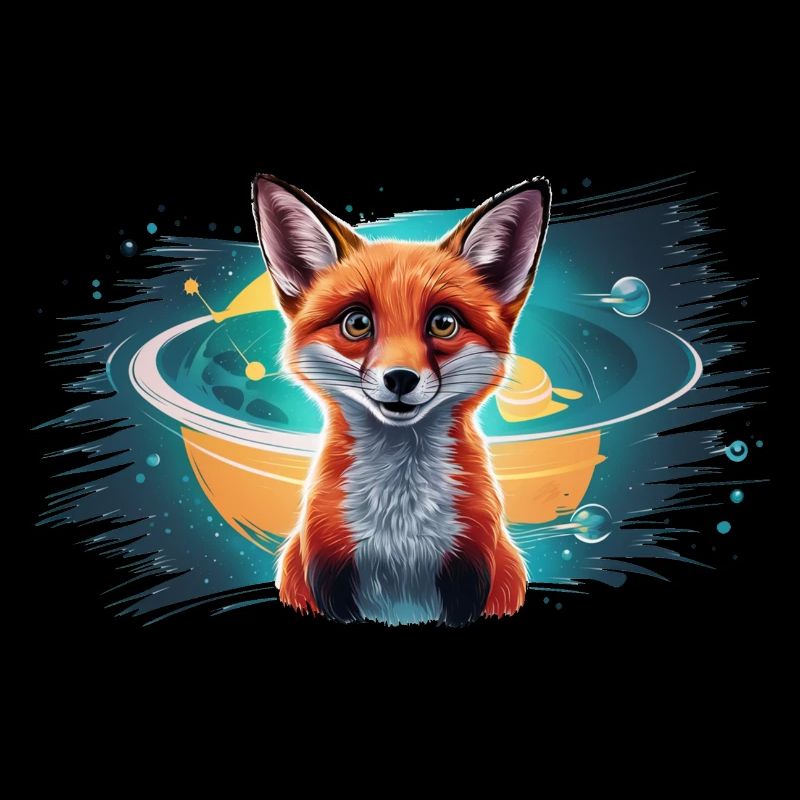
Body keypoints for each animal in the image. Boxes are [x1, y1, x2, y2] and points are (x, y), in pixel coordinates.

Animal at [252, 174, 551, 626]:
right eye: (358, 323)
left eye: (443, 323)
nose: (400, 379)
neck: (399, 522)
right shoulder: (327, 566)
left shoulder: (471, 565)